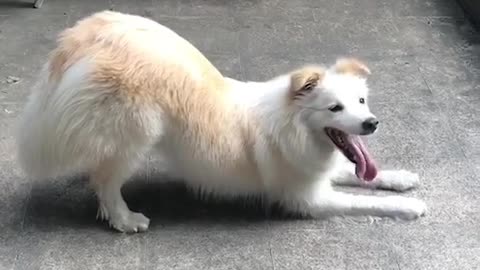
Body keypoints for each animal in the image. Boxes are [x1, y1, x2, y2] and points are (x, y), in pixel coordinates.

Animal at [16, 11, 426, 233]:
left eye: (361, 101)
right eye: (334, 108)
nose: (372, 123)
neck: (294, 126)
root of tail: (93, 30)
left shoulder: (317, 171)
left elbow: (366, 175)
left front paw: (402, 179)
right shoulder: (309, 198)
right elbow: (363, 201)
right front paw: (410, 208)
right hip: (139, 134)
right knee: (105, 182)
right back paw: (125, 219)